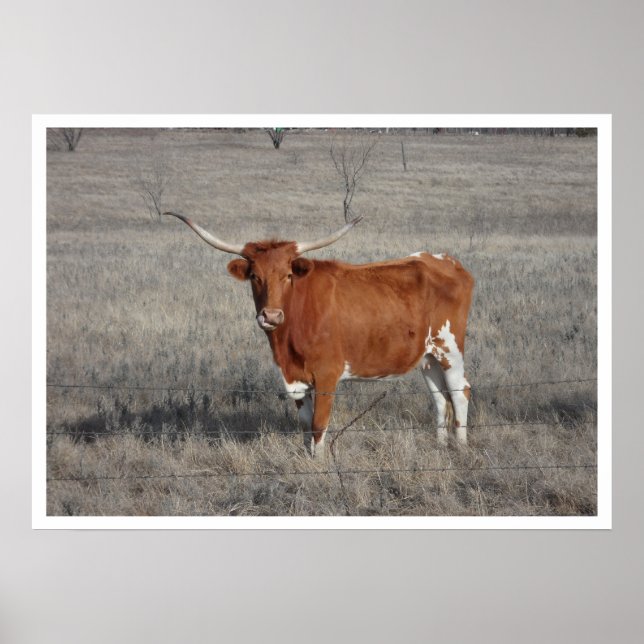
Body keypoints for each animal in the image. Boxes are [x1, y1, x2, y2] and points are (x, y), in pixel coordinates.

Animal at [165, 211, 474, 457]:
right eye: (255, 276)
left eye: (288, 275)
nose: (271, 316)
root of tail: (445, 261)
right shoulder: (294, 377)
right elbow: (304, 424)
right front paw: (307, 459)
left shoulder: (327, 375)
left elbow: (318, 424)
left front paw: (320, 463)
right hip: (428, 357)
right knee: (440, 399)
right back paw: (440, 446)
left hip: (450, 349)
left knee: (460, 392)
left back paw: (460, 448)